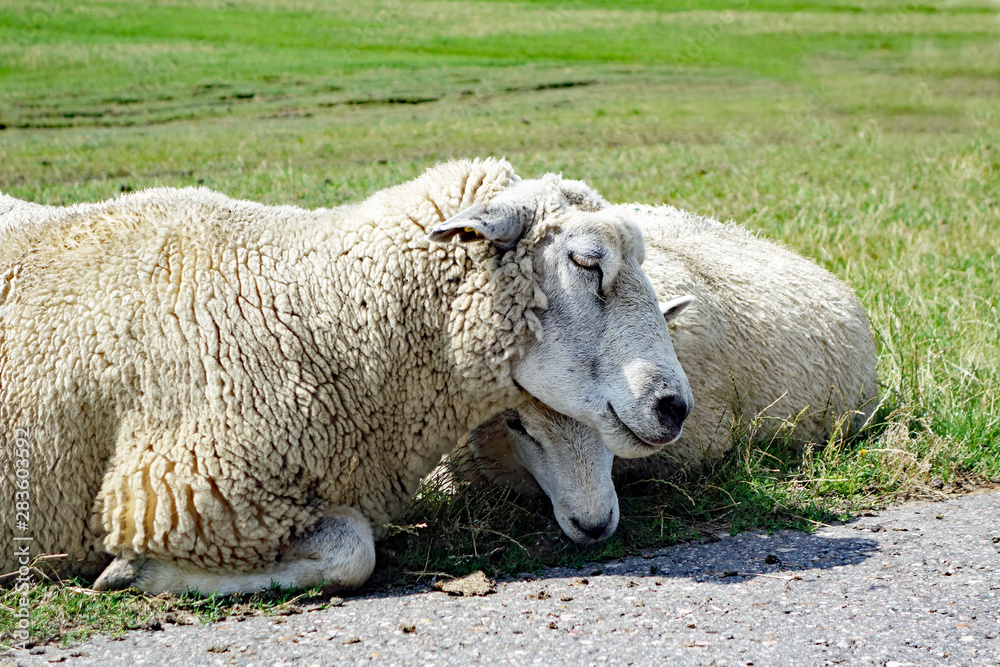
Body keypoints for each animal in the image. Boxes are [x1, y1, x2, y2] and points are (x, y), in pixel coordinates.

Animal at [0, 159, 693, 595]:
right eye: (586, 262)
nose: (674, 406)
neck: (318, 308)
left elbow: (350, 549)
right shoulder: (181, 491)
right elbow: (353, 553)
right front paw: (133, 573)